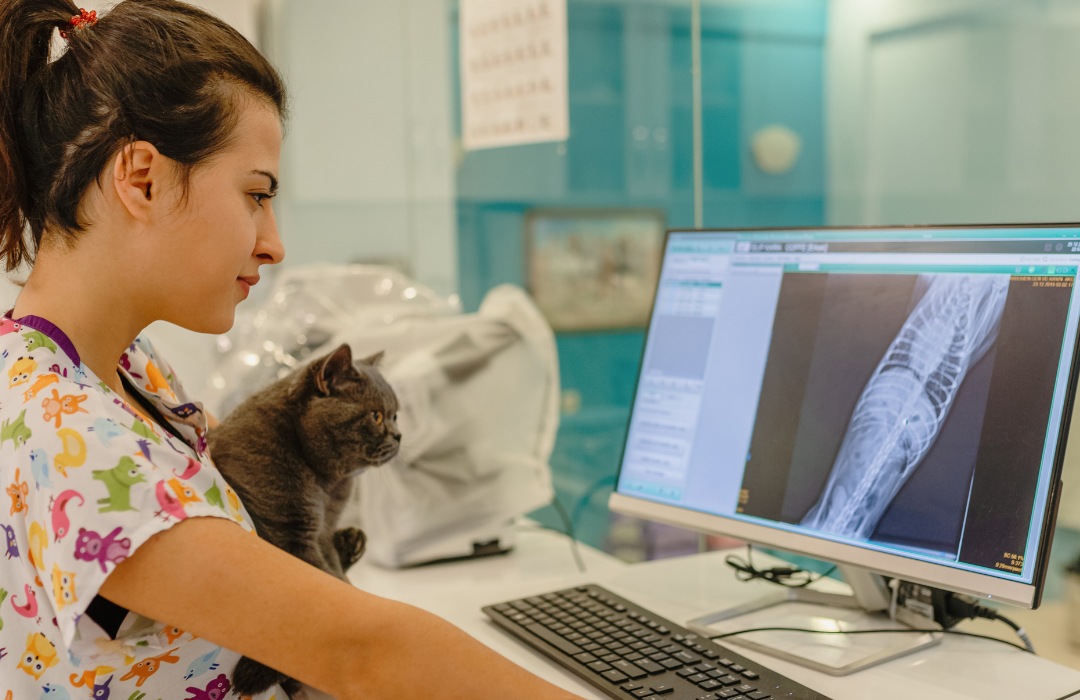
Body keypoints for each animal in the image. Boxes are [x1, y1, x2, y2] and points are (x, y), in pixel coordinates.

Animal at [206, 343, 401, 695]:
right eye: (376, 415)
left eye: (396, 414)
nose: (399, 435)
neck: (325, 484)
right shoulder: (290, 535)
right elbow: (330, 584)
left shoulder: (322, 530)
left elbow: (335, 575)